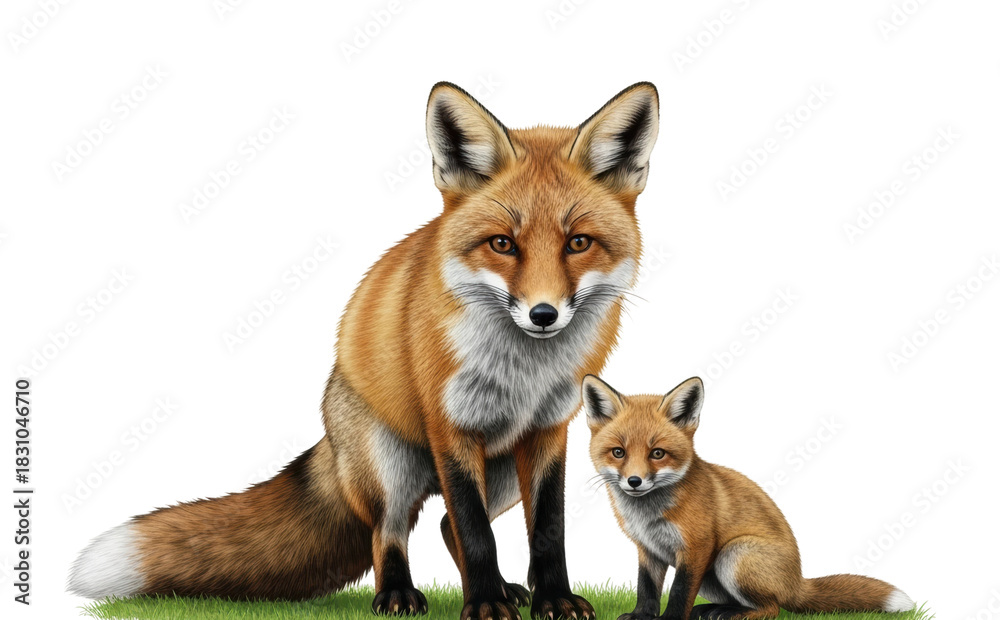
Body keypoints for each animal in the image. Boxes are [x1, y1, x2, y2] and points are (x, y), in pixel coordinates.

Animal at [69, 82, 661, 620]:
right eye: (502, 244)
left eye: (578, 243)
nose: (543, 314)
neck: (524, 373)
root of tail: (331, 435)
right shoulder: (449, 426)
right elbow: (475, 532)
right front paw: (486, 606)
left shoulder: (548, 432)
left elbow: (547, 530)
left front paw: (552, 600)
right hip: (390, 466)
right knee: (392, 531)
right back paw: (399, 594)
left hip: (499, 475)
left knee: (441, 523)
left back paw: (507, 588)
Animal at [582, 375, 915, 620]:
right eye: (618, 452)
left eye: (657, 453)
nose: (634, 481)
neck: (648, 515)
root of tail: (797, 582)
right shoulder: (647, 549)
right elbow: (646, 588)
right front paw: (642, 615)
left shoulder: (697, 547)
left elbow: (678, 592)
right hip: (714, 577)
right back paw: (716, 610)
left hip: (733, 556)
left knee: (771, 609)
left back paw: (732, 614)